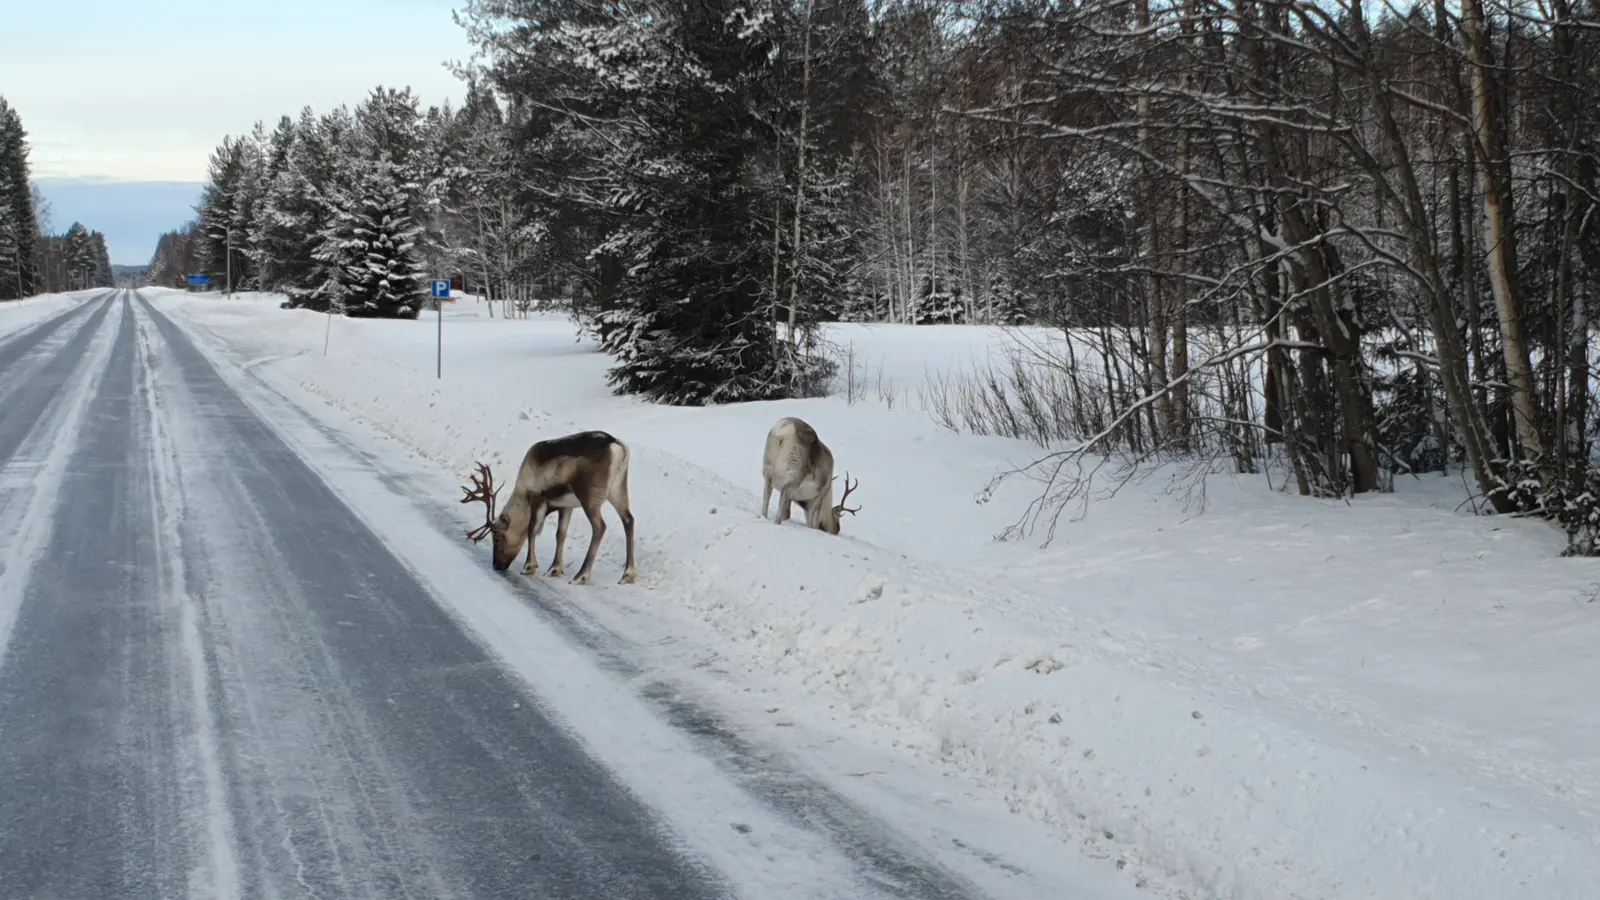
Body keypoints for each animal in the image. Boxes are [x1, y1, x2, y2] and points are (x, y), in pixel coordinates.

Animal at [460, 430, 638, 585]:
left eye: (497, 537)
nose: (497, 565)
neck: (522, 494)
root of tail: (618, 447)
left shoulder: (538, 497)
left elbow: (532, 529)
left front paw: (529, 566)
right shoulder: (566, 506)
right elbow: (560, 534)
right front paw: (555, 568)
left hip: (590, 496)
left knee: (600, 526)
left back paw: (581, 575)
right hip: (618, 489)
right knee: (629, 519)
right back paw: (628, 574)